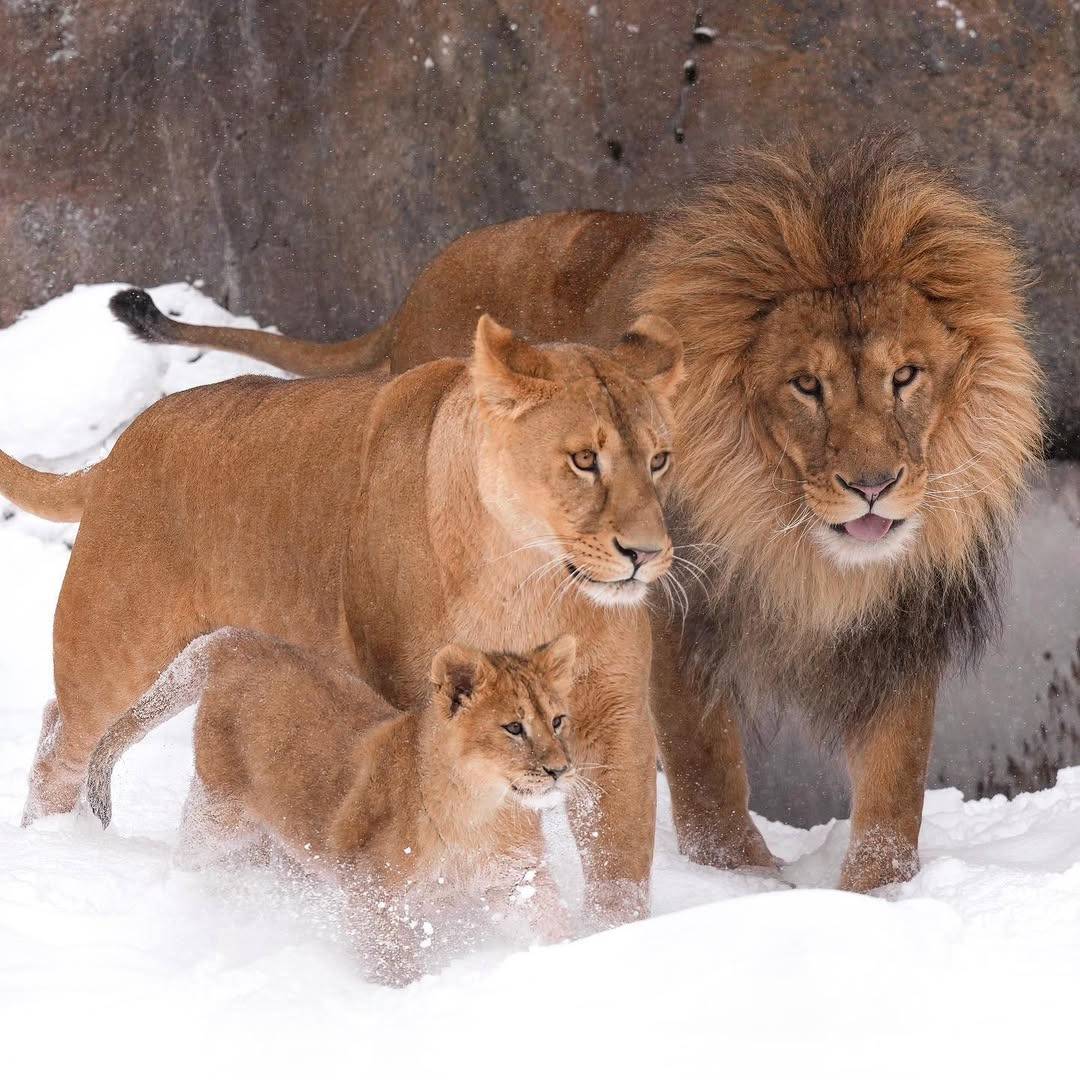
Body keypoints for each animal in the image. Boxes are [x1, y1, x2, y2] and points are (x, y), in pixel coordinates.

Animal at [6, 311, 682, 920]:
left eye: (660, 460)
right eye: (584, 459)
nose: (647, 555)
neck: (530, 579)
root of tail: (120, 446)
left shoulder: (612, 711)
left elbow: (619, 857)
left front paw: (608, 938)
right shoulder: (418, 703)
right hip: (116, 654)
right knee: (60, 745)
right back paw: (53, 849)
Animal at [85, 626, 583, 989]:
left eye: (558, 720)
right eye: (514, 728)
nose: (560, 770)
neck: (482, 814)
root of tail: (237, 639)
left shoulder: (518, 878)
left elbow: (551, 921)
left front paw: (567, 955)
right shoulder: (374, 890)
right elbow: (391, 959)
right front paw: (402, 996)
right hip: (219, 811)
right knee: (187, 856)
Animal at [120, 132, 1045, 894]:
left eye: (905, 376)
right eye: (806, 386)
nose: (874, 484)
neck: (793, 543)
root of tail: (419, 286)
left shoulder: (901, 621)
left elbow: (893, 786)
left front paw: (879, 896)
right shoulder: (672, 628)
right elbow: (706, 770)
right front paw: (742, 882)